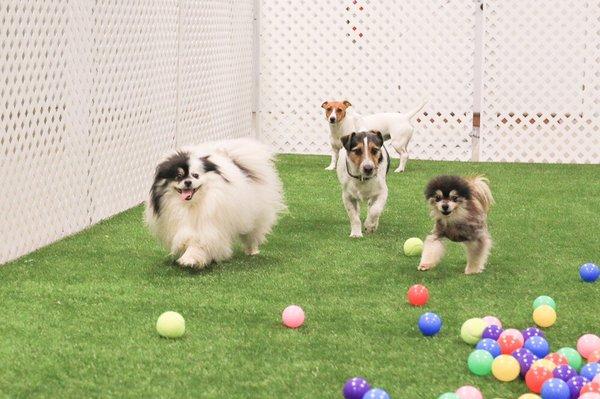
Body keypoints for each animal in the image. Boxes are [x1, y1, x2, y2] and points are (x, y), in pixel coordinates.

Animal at [146, 139, 286, 270]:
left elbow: (197, 245)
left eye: (196, 175)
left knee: (252, 235)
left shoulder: (209, 227)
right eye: (178, 176)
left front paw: (190, 259)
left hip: (255, 217)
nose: (188, 182)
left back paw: (252, 251)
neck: (192, 205)